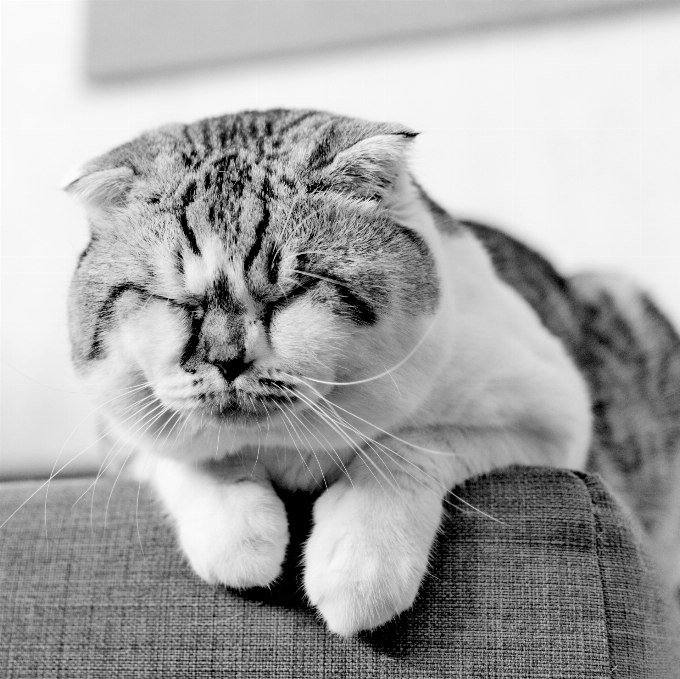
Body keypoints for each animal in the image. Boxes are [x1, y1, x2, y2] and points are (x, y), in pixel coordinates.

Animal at [65, 107, 680, 636]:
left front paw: (358, 570)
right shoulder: (116, 427)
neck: (289, 449)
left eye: (289, 294)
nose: (227, 361)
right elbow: (191, 456)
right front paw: (242, 538)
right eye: (177, 303)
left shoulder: (549, 413)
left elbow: (401, 450)